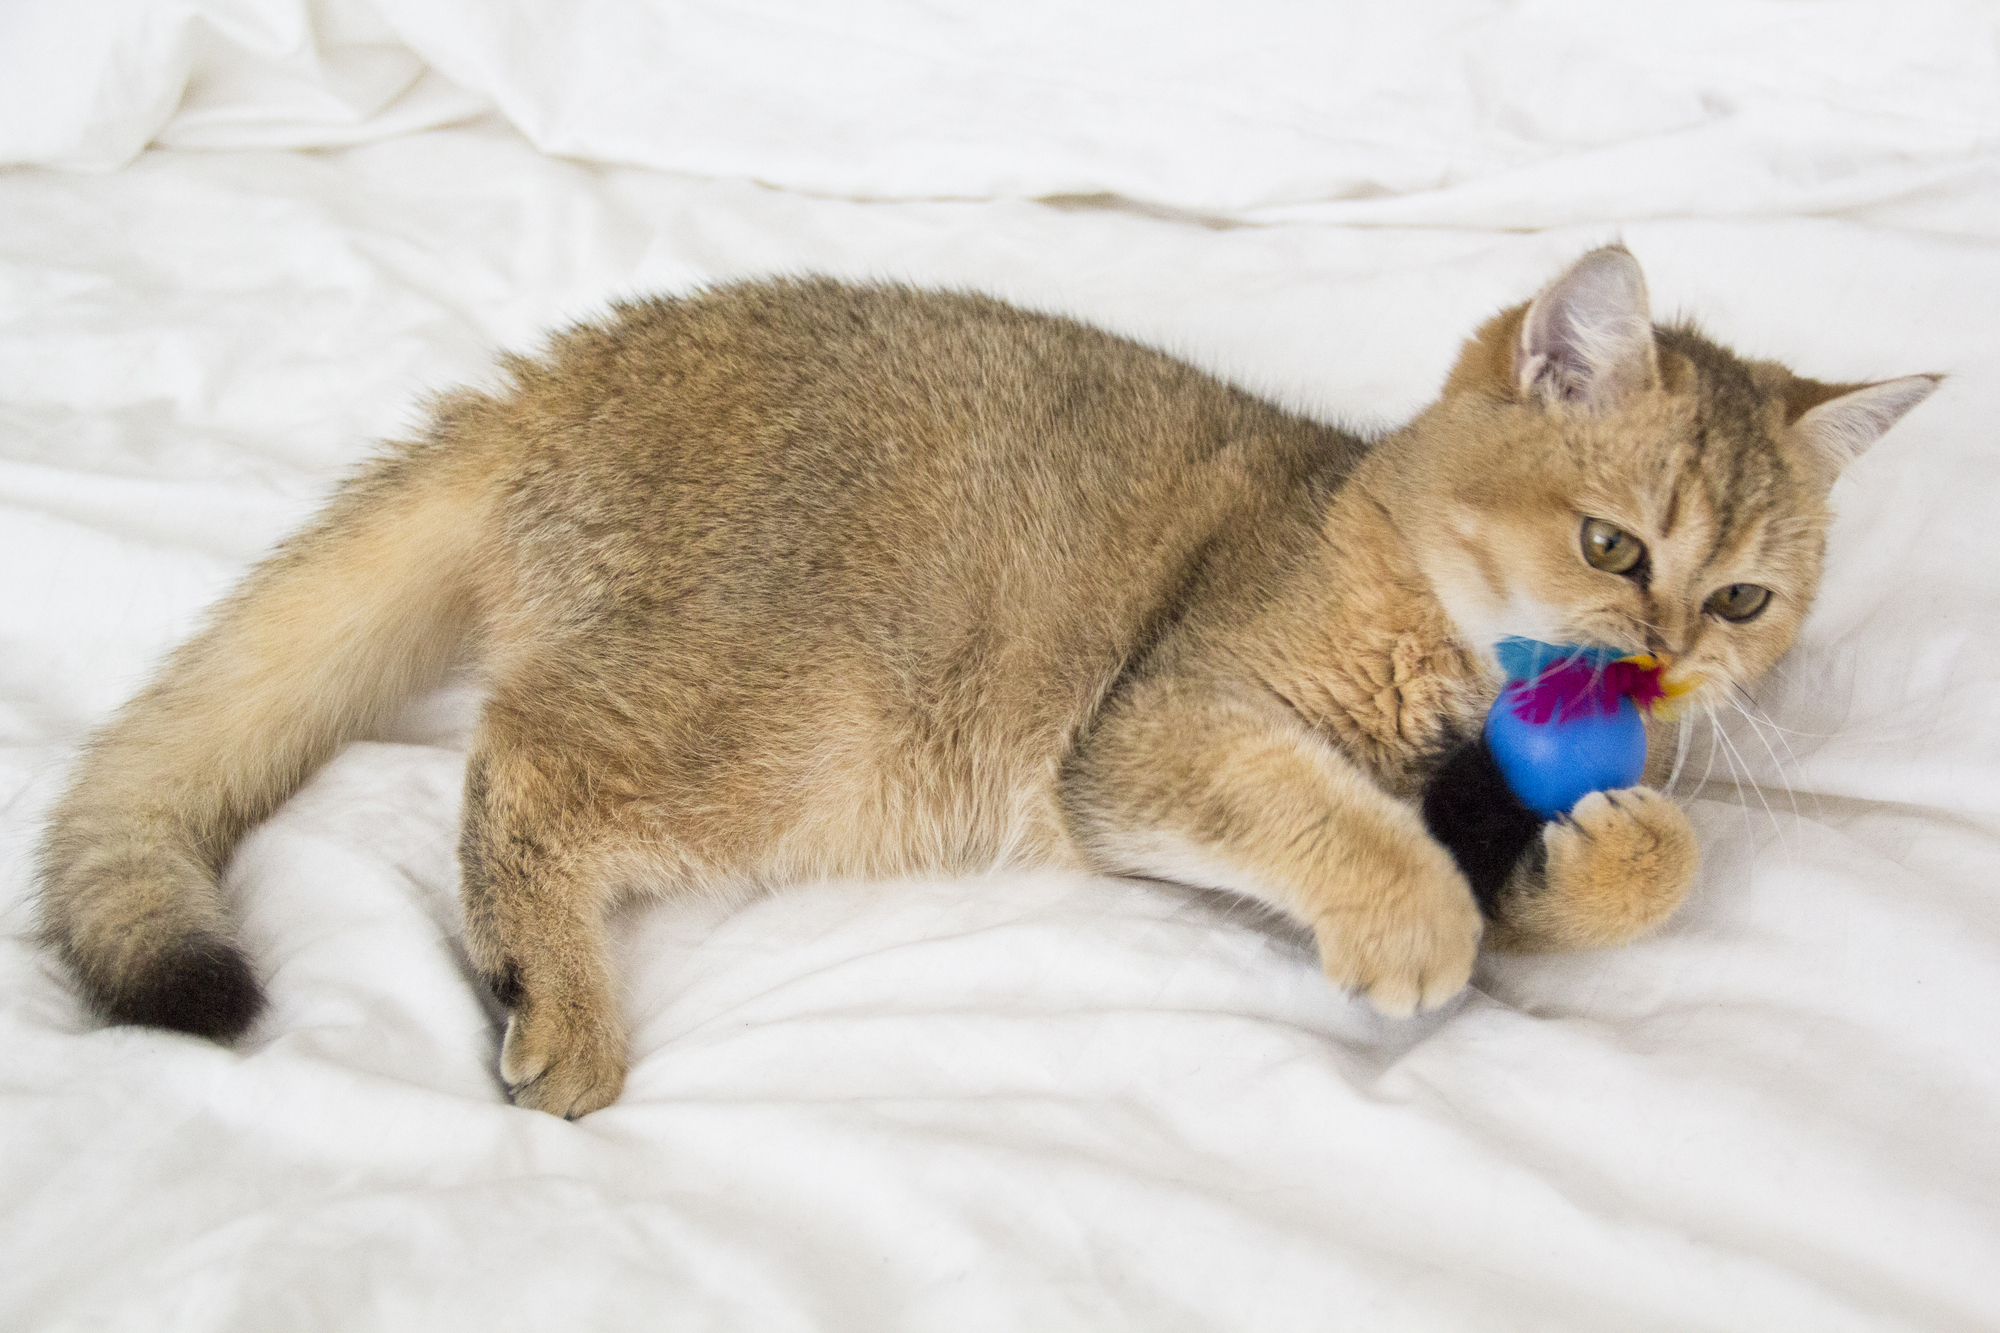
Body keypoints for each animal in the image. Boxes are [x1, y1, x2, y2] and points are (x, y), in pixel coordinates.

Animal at [35, 246, 1936, 1112]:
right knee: (517, 758)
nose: (1667, 658)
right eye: (1615, 546)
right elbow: (1337, 823)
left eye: (1747, 595)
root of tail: (572, 370)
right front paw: (1410, 924)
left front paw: (1620, 842)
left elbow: (1610, 872)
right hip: (789, 729)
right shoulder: (1154, 737)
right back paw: (550, 1001)